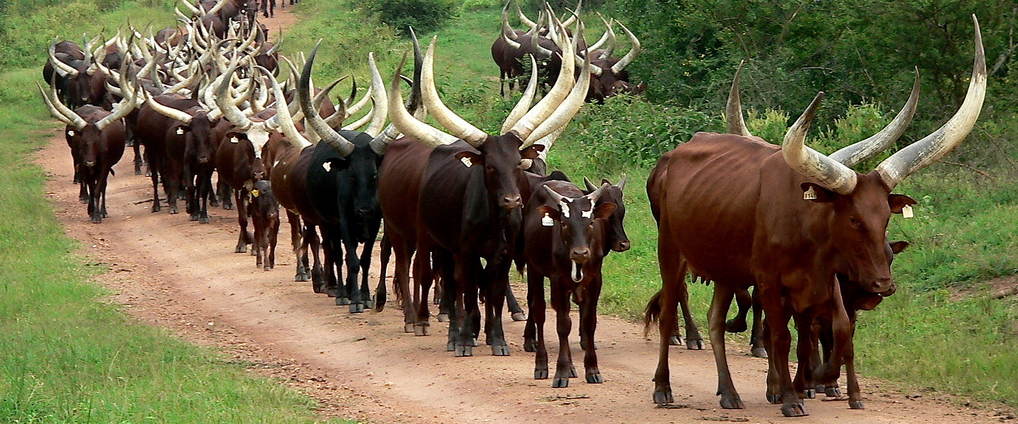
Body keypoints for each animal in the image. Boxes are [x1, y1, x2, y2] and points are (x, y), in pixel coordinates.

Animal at [39, 81, 136, 223]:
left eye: (97, 142)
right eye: (83, 142)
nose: (90, 162)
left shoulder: (105, 166)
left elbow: (98, 189)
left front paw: (98, 214)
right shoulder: (84, 164)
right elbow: (90, 186)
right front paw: (92, 212)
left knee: (103, 186)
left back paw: (103, 210)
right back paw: (85, 199)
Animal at [380, 22, 589, 355]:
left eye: (518, 164)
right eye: (489, 166)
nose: (512, 200)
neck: (494, 222)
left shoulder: (503, 255)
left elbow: (495, 293)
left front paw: (497, 338)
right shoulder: (465, 252)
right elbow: (467, 291)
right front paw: (466, 338)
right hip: (436, 243)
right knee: (442, 281)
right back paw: (447, 330)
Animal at [522, 180, 617, 387]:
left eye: (591, 222)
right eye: (564, 224)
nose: (580, 253)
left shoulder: (595, 280)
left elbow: (589, 323)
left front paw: (592, 369)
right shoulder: (558, 280)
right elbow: (563, 326)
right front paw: (561, 372)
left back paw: (573, 368)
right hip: (534, 270)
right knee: (539, 312)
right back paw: (542, 365)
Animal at [645, 19, 983, 417]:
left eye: (886, 217)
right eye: (853, 219)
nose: (883, 284)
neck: (807, 230)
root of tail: (674, 155)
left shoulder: (820, 283)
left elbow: (829, 332)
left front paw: (813, 381)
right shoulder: (769, 281)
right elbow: (782, 335)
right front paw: (792, 397)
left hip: (725, 269)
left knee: (715, 322)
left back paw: (729, 392)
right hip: (671, 253)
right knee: (669, 312)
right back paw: (663, 388)